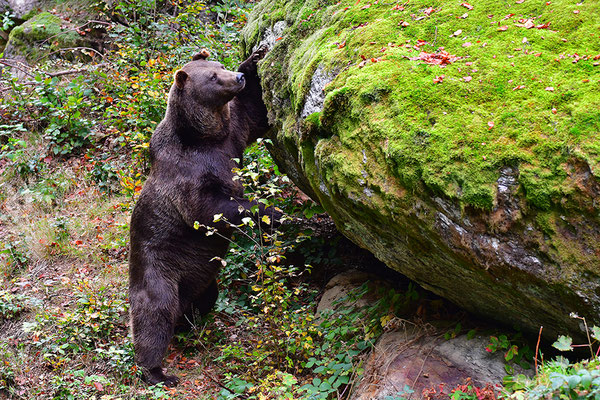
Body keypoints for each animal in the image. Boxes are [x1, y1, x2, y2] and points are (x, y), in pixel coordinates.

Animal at [130, 45, 276, 386]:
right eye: (212, 77)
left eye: (220, 65)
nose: (236, 78)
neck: (203, 136)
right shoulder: (188, 172)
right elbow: (209, 211)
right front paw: (268, 211)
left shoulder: (231, 136)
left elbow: (253, 112)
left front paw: (256, 57)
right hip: (159, 270)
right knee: (155, 315)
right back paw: (157, 372)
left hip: (200, 278)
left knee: (204, 298)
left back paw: (190, 323)